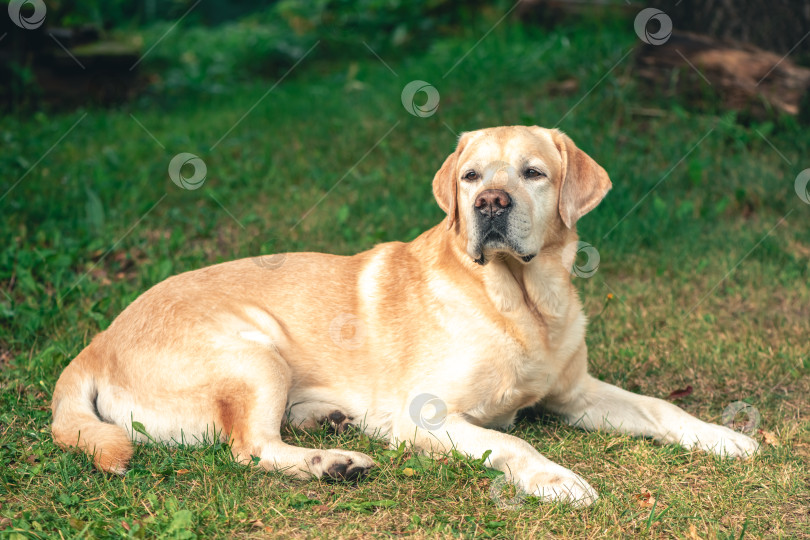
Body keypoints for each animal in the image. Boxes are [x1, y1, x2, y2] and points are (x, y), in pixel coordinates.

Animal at [52, 124, 756, 504]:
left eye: (533, 172)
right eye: (471, 177)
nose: (491, 203)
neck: (519, 302)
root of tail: (96, 341)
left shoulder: (576, 392)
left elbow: (660, 409)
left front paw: (724, 437)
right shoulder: (429, 414)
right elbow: (511, 441)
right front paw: (555, 478)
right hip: (253, 351)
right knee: (248, 449)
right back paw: (333, 463)